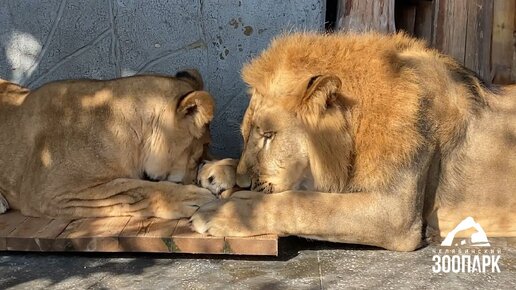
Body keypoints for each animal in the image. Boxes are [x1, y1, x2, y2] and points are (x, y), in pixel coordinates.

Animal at [192, 32, 516, 251]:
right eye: (246, 135)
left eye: (269, 136)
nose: (243, 184)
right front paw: (217, 170)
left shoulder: (395, 213)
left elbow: (303, 204)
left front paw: (224, 211)